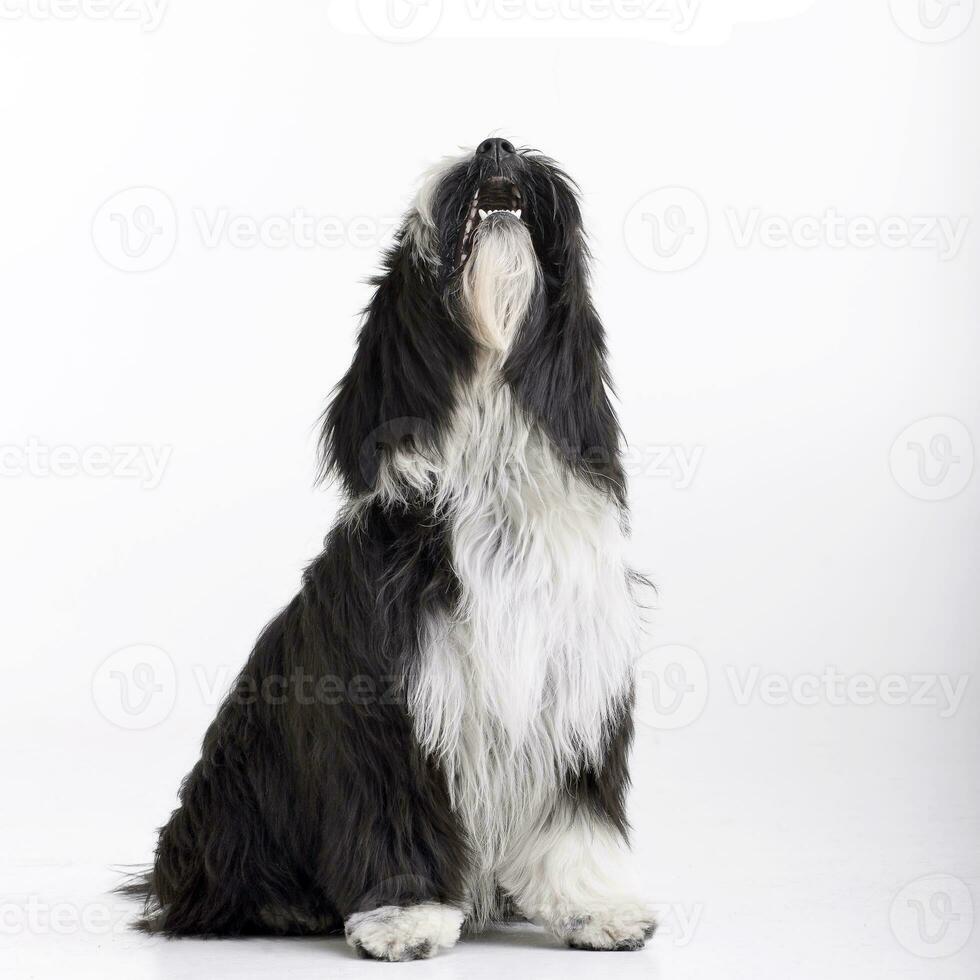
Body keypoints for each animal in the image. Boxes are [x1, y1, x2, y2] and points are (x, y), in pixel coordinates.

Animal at [132, 140, 660, 964]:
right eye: (411, 248)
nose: (496, 146)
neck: (493, 476)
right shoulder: (386, 707)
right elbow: (392, 815)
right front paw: (404, 917)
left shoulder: (574, 690)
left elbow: (577, 822)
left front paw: (595, 908)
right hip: (232, 794)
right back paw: (282, 907)